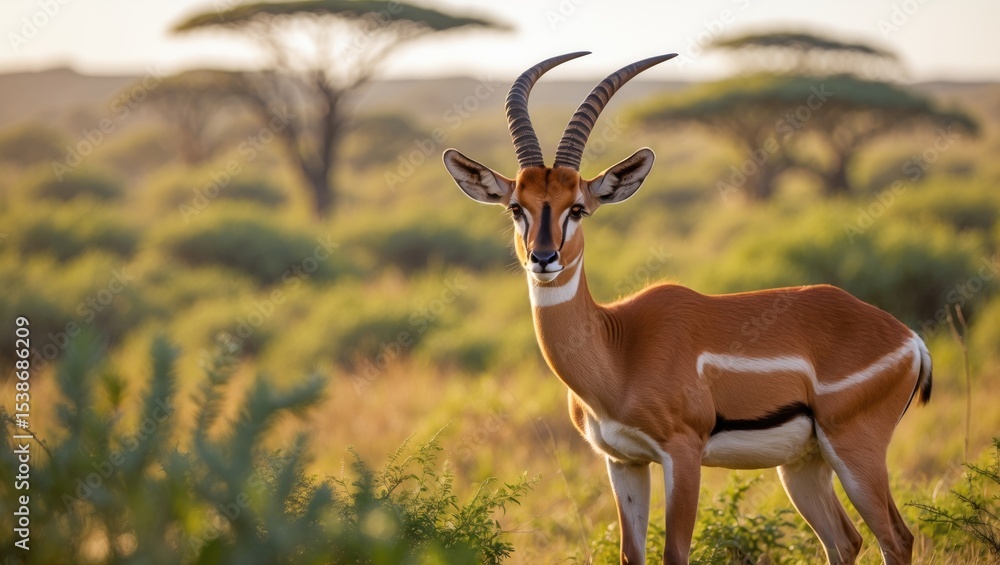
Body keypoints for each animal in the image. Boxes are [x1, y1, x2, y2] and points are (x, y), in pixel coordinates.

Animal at [442, 52, 932, 565]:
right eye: (516, 206)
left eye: (577, 207)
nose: (543, 258)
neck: (619, 348)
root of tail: (908, 339)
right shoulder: (623, 461)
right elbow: (631, 554)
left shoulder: (682, 454)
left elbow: (675, 552)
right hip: (803, 464)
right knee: (845, 539)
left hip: (854, 453)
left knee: (896, 537)